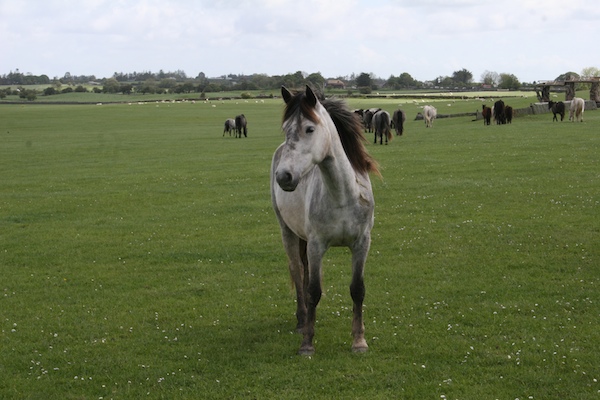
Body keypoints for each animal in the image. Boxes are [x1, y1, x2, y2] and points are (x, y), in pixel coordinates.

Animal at [272, 86, 380, 354]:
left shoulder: (362, 243)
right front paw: (307, 344)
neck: (342, 195)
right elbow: (313, 291)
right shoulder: (316, 245)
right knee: (297, 271)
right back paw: (302, 320)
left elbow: (357, 290)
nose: (284, 176)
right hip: (288, 232)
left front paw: (359, 341)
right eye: (285, 128)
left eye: (310, 129)